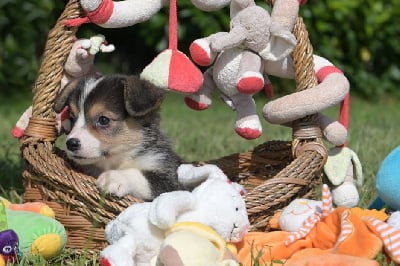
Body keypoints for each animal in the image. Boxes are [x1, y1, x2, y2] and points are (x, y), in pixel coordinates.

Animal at [52, 74, 184, 200]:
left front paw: (114, 177)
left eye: (103, 120)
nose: (71, 143)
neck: (119, 160)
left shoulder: (171, 182)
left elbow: (140, 176)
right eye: (71, 118)